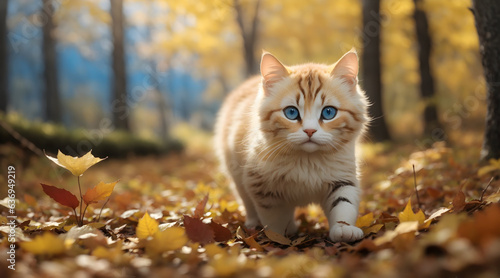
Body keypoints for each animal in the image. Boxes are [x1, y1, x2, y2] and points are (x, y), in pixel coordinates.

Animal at [213, 50, 370, 243]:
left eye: (328, 112)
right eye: (291, 112)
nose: (310, 130)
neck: (308, 160)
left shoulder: (343, 177)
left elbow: (343, 203)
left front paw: (343, 228)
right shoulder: (261, 185)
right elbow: (275, 217)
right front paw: (278, 236)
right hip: (236, 172)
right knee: (246, 201)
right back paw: (253, 222)